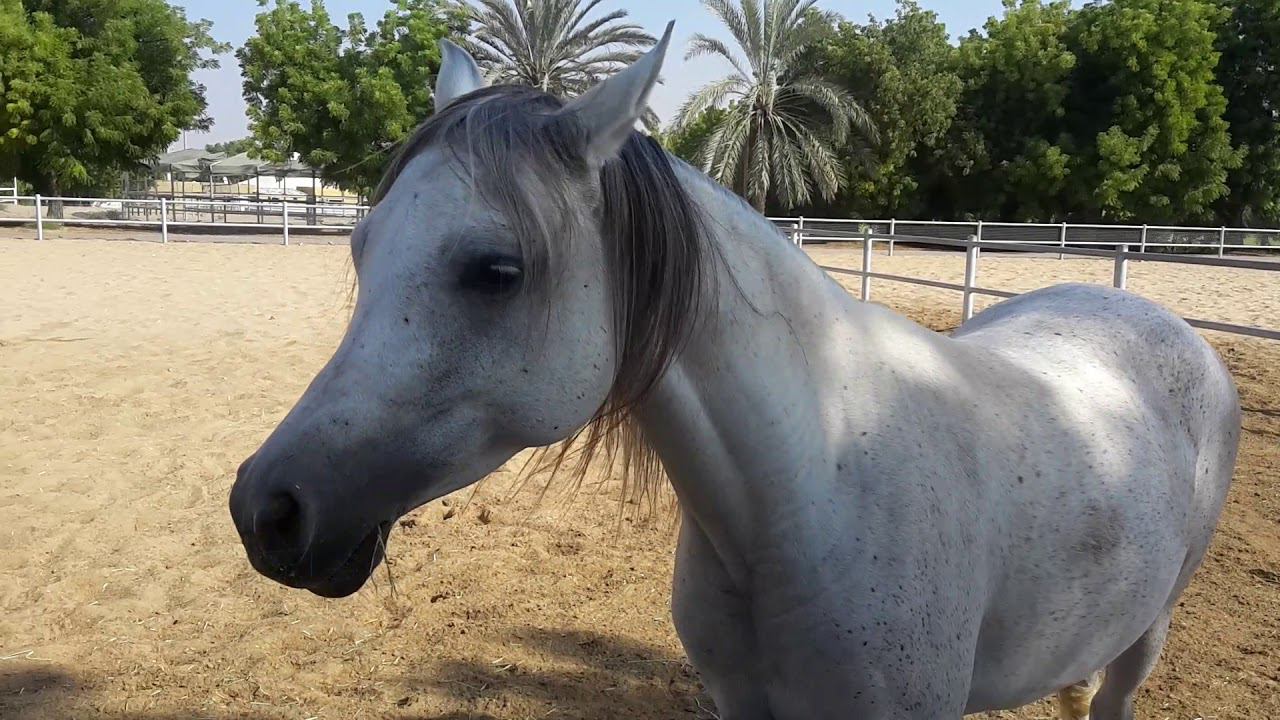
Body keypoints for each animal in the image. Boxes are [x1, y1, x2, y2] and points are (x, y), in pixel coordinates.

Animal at [230, 25, 1239, 712]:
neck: (812, 490)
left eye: (497, 271)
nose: (265, 511)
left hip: (1146, 635)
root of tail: (1158, 319)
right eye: (361, 248)